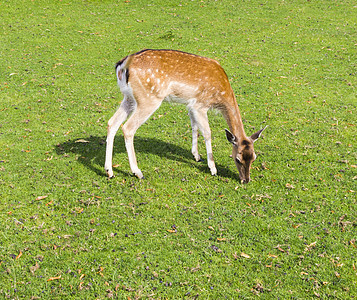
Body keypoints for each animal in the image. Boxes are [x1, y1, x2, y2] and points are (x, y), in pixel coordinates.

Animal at [104, 49, 266, 183]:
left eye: (254, 157)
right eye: (237, 159)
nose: (246, 180)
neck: (221, 94)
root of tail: (122, 66)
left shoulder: (191, 105)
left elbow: (194, 126)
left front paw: (196, 156)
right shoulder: (200, 105)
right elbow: (207, 132)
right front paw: (213, 168)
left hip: (129, 98)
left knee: (112, 122)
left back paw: (109, 171)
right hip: (148, 98)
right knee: (128, 128)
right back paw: (137, 172)